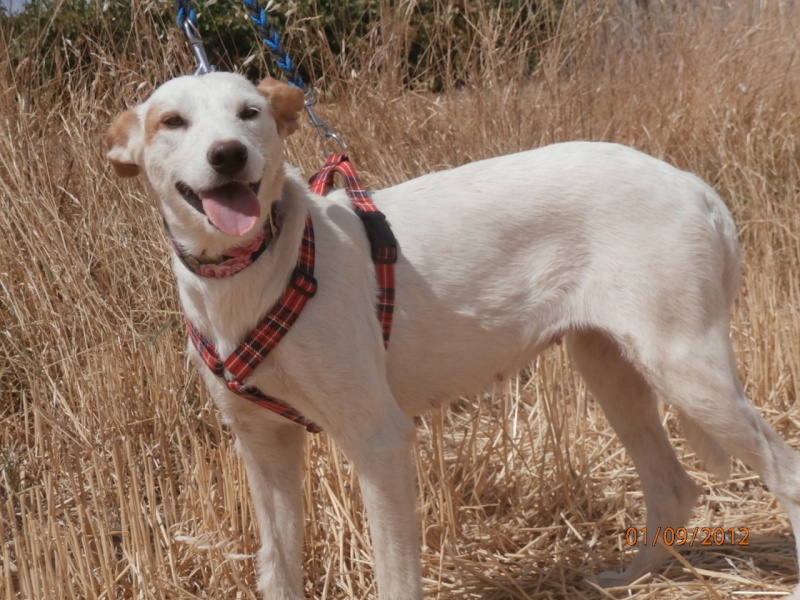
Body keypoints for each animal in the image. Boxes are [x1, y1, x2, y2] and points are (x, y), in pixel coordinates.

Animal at [106, 74, 800, 600]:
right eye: (172, 122)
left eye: (250, 113)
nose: (229, 154)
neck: (253, 268)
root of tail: (691, 183)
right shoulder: (264, 447)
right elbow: (278, 570)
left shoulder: (379, 439)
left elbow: (394, 574)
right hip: (610, 369)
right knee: (673, 490)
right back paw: (627, 579)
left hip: (685, 366)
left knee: (784, 470)